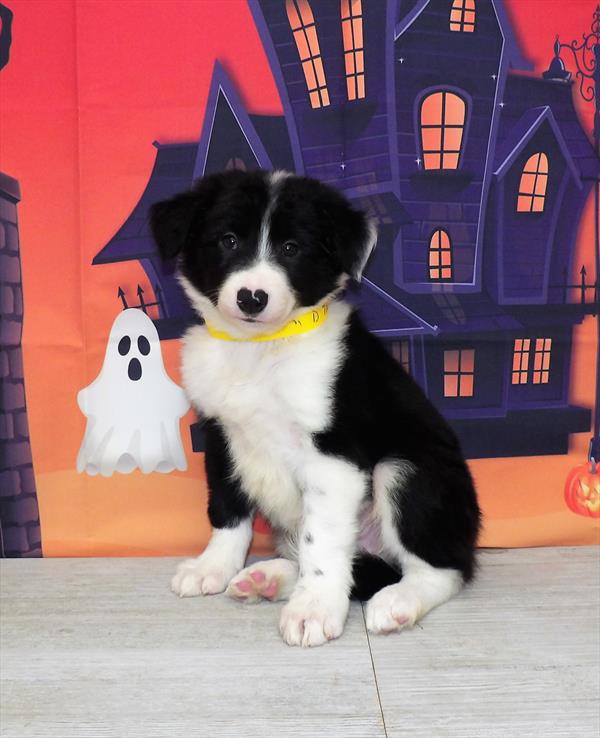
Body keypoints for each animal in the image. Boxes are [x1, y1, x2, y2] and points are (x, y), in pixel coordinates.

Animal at [151, 171, 482, 644]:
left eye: (292, 249)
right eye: (228, 241)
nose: (252, 297)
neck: (261, 350)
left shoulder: (334, 456)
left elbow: (321, 541)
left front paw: (314, 609)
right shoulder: (220, 436)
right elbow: (227, 510)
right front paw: (213, 565)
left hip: (409, 472)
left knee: (442, 569)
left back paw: (398, 601)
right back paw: (268, 578)